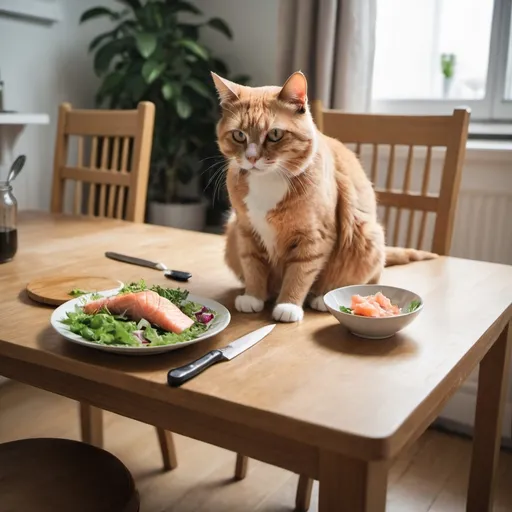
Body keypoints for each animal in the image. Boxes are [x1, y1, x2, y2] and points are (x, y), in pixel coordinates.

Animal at [210, 70, 434, 322]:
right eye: (239, 135)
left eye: (275, 134)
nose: (251, 158)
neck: (268, 180)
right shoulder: (246, 231)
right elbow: (253, 266)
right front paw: (253, 296)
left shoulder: (315, 237)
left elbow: (300, 272)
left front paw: (288, 305)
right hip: (232, 231)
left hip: (368, 234)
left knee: (367, 278)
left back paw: (321, 298)